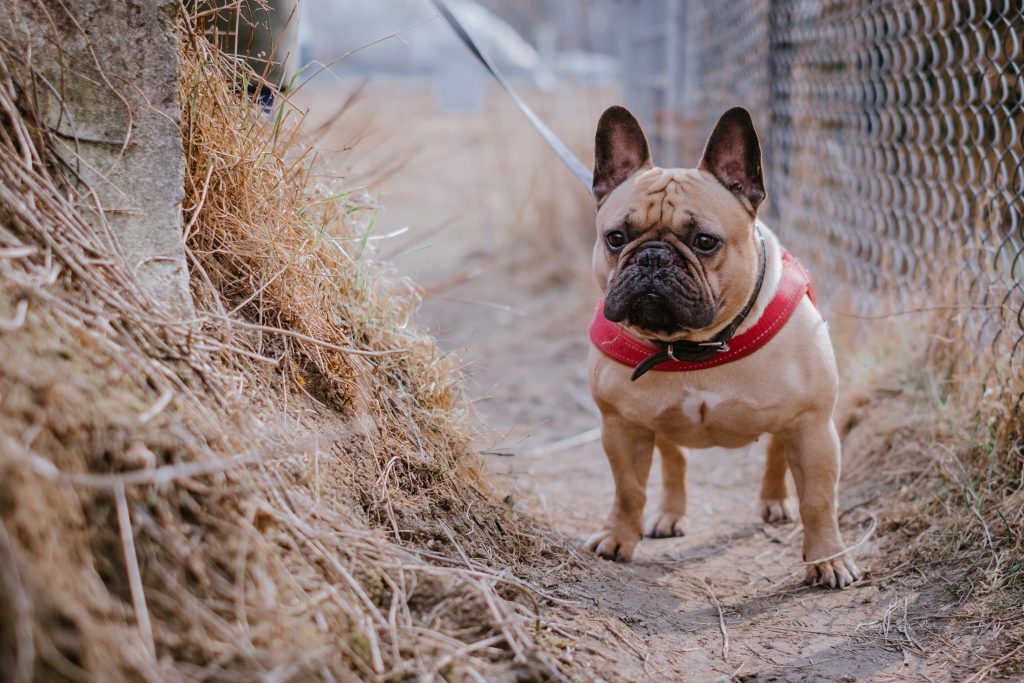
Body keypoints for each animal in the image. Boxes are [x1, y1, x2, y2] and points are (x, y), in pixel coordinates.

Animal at [581, 107, 860, 589]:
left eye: (705, 241)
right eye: (616, 238)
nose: (652, 258)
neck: (698, 346)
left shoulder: (812, 425)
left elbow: (819, 500)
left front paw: (828, 558)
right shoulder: (621, 425)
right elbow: (629, 490)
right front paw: (619, 538)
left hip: (792, 423)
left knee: (775, 453)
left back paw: (776, 502)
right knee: (675, 460)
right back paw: (670, 514)